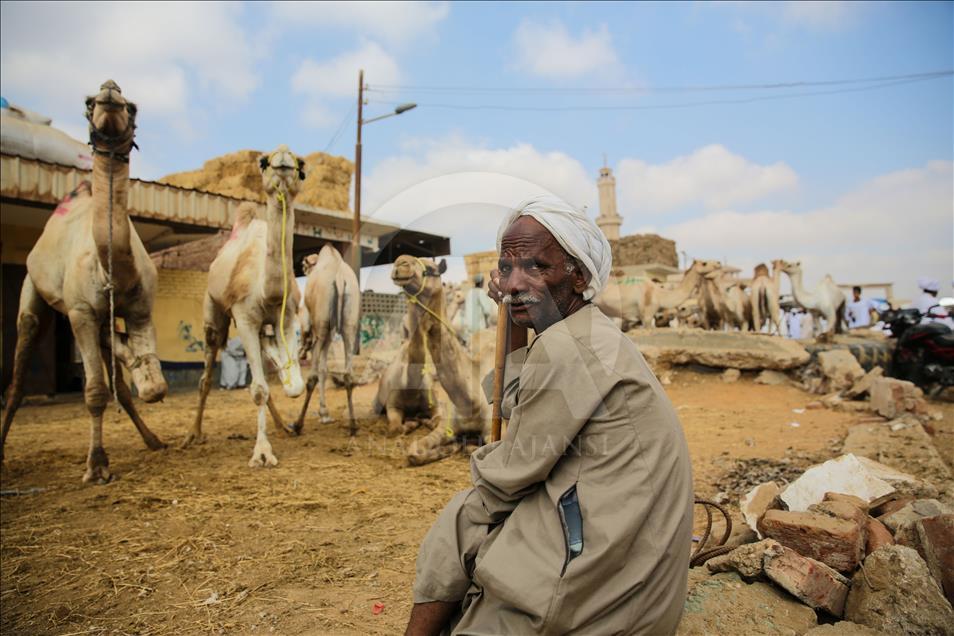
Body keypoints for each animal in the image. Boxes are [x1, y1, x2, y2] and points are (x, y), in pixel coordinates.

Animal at [0, 82, 166, 484]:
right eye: (89, 103)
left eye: (132, 107)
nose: (110, 90)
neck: (113, 269)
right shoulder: (80, 312)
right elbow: (94, 392)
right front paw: (97, 465)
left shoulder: (139, 309)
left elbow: (150, 388)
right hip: (33, 289)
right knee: (18, 375)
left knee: (118, 381)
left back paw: (152, 439)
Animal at [183, 147, 304, 470]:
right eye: (263, 162)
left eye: (302, 165)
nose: (283, 158)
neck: (267, 291)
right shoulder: (245, 317)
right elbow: (260, 389)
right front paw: (262, 453)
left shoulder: (287, 317)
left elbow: (292, 387)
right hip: (213, 315)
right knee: (206, 377)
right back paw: (193, 434)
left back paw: (282, 426)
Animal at [388, 255, 490, 468]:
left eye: (431, 269)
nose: (400, 263)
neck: (470, 402)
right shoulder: (447, 425)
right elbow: (414, 452)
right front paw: (453, 446)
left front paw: (463, 445)